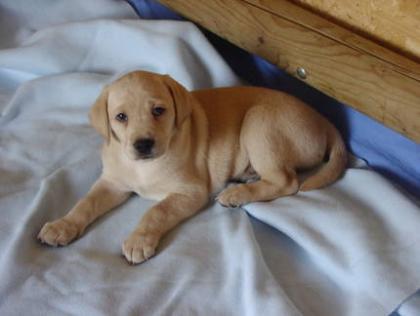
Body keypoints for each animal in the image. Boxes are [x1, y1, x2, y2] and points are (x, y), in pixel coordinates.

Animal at [38, 69, 348, 264]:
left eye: (159, 111)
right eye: (121, 117)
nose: (143, 144)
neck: (143, 167)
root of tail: (324, 122)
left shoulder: (191, 191)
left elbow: (156, 211)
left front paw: (139, 240)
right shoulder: (112, 183)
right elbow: (85, 203)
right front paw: (62, 226)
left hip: (260, 121)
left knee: (287, 181)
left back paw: (236, 194)